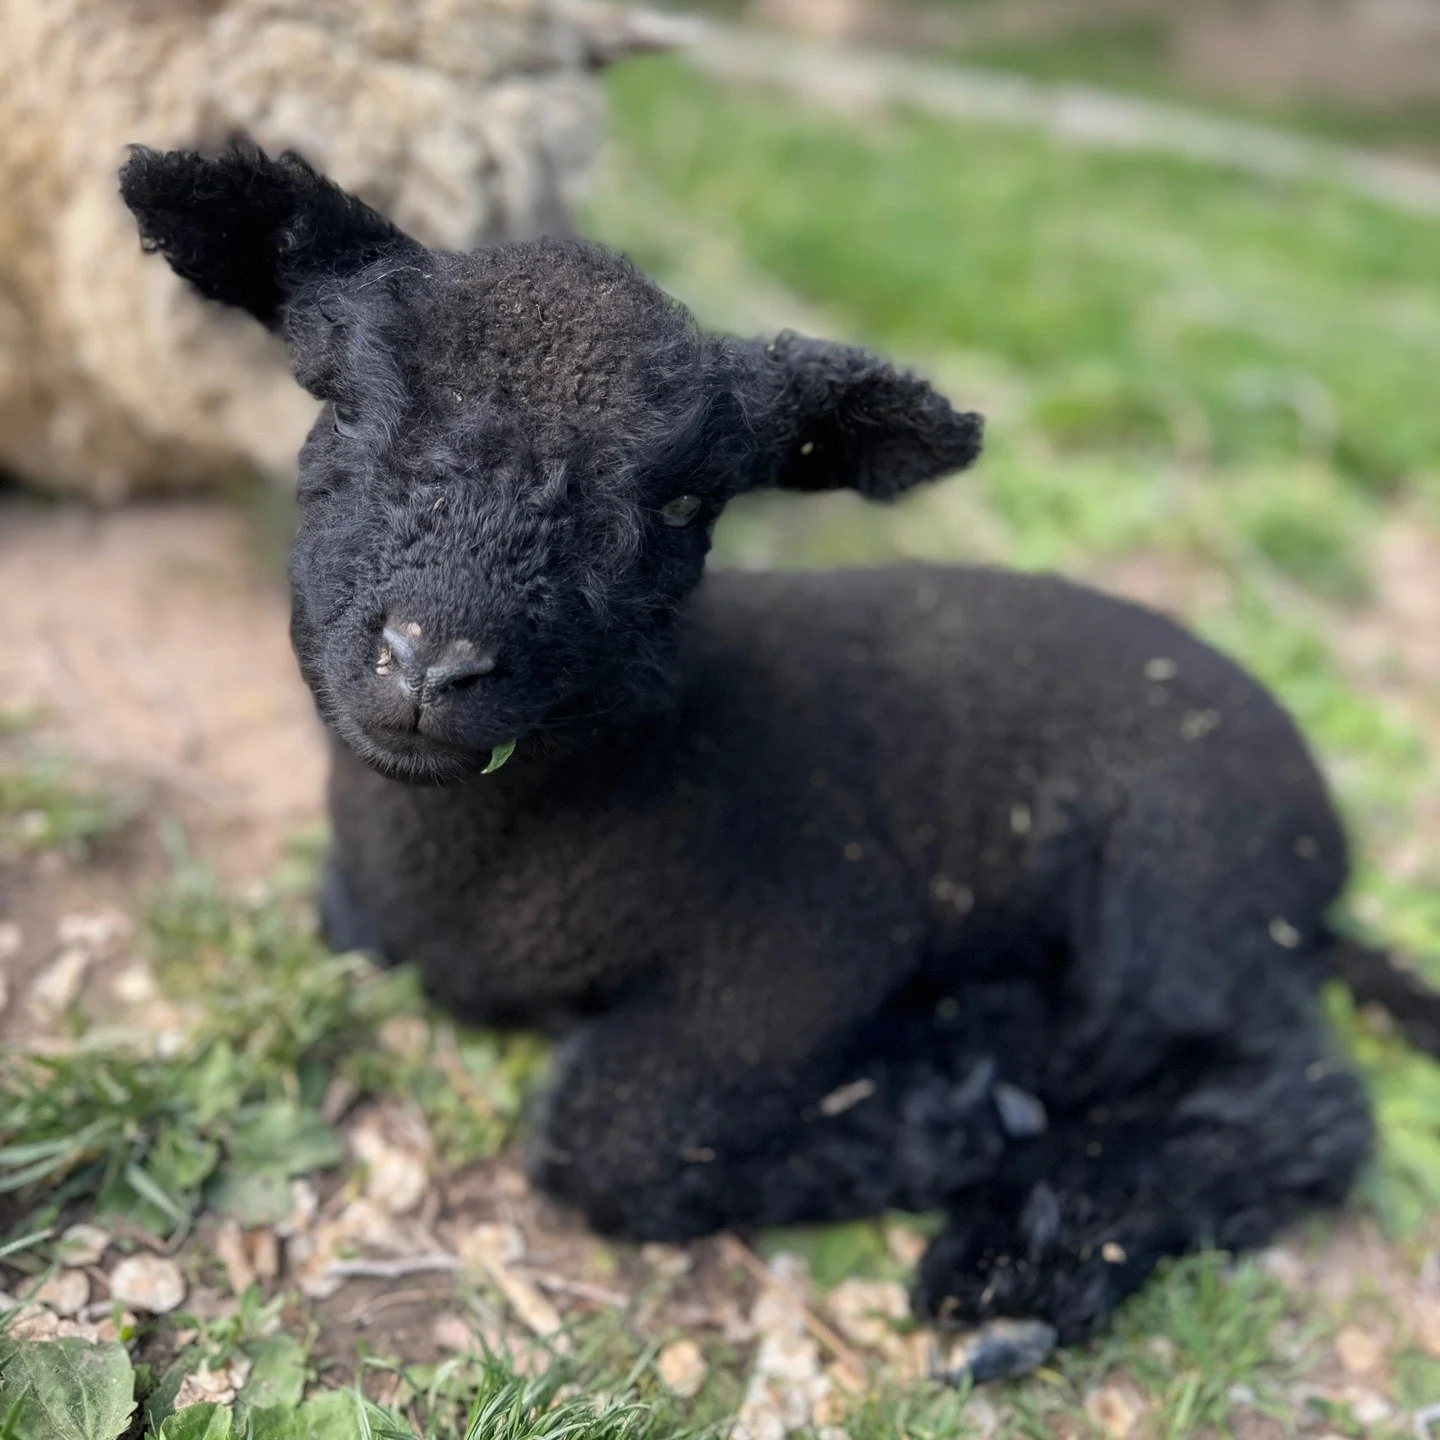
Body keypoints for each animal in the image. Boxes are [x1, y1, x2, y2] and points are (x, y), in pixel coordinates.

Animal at [120, 141, 1440, 1380]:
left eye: (679, 504)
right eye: (339, 407)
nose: (429, 662)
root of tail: (1323, 855)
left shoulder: (806, 944)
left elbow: (608, 1129)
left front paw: (935, 1118)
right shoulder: (365, 915)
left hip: (1183, 882)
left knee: (1294, 1097)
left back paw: (1014, 1256)